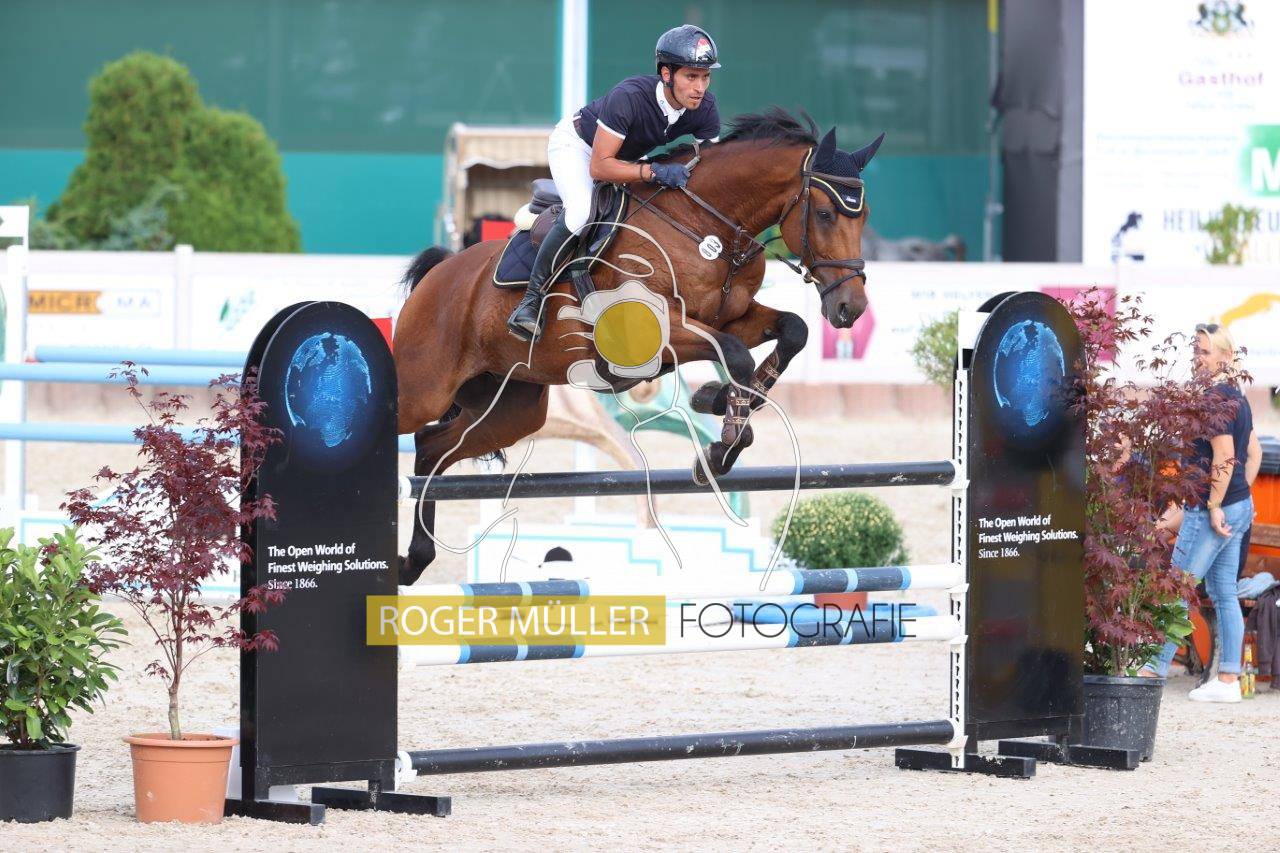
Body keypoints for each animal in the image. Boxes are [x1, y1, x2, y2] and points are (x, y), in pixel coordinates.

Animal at [393, 107, 883, 583]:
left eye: (864, 216)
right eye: (825, 214)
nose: (851, 307)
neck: (705, 229)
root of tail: (442, 271)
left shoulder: (731, 318)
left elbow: (790, 331)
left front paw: (726, 400)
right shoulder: (652, 336)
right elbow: (734, 353)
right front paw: (721, 447)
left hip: (511, 410)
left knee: (432, 447)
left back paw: (415, 560)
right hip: (424, 388)